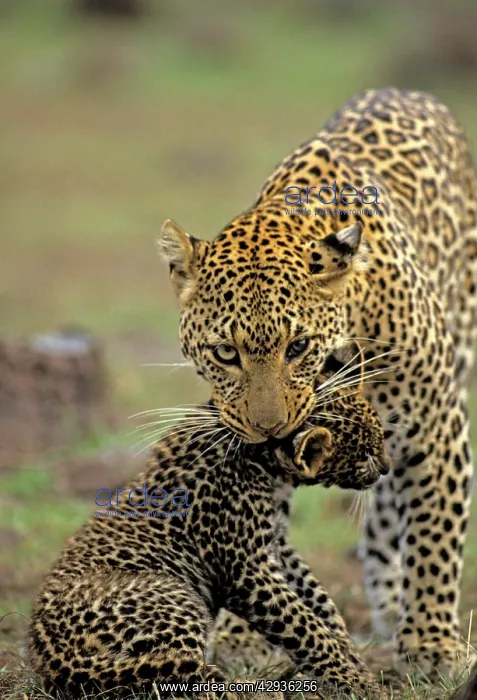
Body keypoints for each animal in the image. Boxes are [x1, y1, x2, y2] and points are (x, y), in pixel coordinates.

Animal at [29, 387, 390, 699]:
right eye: (366, 453)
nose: (386, 468)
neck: (265, 464)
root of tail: (50, 654)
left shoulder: (277, 547)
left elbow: (322, 605)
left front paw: (356, 663)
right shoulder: (248, 570)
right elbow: (306, 627)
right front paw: (358, 684)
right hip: (178, 599)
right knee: (183, 679)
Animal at [158, 87, 477, 678]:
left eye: (298, 347)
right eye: (226, 353)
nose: (269, 428)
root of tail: (407, 92)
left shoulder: (437, 427)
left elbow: (435, 537)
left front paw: (433, 646)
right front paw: (243, 639)